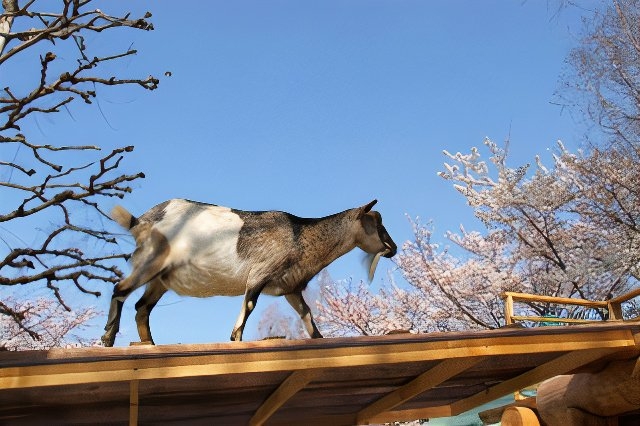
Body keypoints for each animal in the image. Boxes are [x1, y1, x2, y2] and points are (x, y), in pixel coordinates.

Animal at [101, 199, 397, 346]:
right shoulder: (260, 274)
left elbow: (307, 316)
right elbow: (249, 307)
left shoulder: (290, 287)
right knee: (120, 290)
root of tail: (141, 220)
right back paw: (108, 337)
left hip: (161, 279)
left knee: (141, 307)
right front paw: (236, 339)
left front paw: (319, 339)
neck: (299, 234)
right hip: (150, 262)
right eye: (375, 223)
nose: (392, 248)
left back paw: (149, 344)